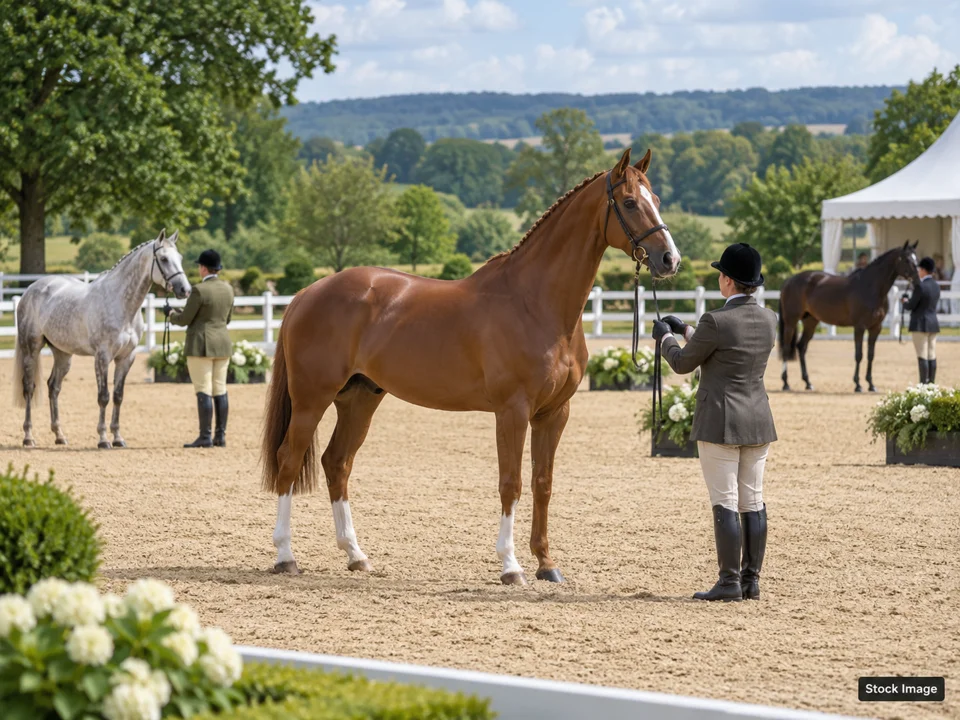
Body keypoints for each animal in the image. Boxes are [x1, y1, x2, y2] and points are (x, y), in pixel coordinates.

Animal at [13, 229, 191, 448]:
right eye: (164, 259)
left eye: (180, 258)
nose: (185, 290)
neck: (121, 303)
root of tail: (30, 290)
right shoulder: (102, 356)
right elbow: (103, 396)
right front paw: (103, 439)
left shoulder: (126, 358)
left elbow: (118, 396)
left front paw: (118, 438)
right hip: (32, 348)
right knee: (29, 388)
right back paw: (28, 437)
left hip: (63, 354)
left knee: (53, 387)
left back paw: (60, 435)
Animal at [261, 148, 681, 585]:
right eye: (630, 203)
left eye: (657, 200)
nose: (670, 259)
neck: (534, 303)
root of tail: (307, 293)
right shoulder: (512, 411)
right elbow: (511, 483)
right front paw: (511, 566)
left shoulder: (554, 413)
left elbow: (542, 483)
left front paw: (546, 563)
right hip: (312, 399)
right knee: (289, 461)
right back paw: (286, 556)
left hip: (359, 399)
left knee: (337, 463)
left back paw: (355, 555)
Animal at [778, 241, 920, 393]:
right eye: (907, 259)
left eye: (916, 259)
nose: (918, 281)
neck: (871, 287)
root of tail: (789, 280)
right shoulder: (859, 327)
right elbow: (859, 355)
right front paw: (858, 385)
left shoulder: (876, 328)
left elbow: (870, 355)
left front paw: (871, 384)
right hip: (791, 321)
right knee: (786, 348)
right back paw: (785, 383)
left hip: (810, 321)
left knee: (801, 347)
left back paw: (808, 383)